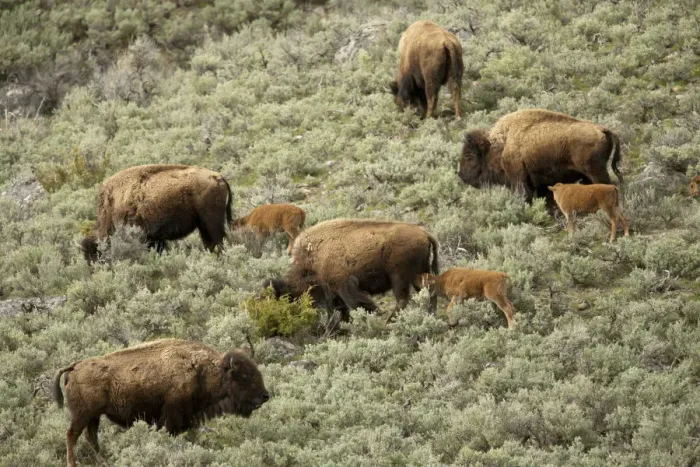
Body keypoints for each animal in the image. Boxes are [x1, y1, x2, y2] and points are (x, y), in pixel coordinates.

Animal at [53, 338, 269, 467]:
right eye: (244, 376)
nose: (265, 396)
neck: (202, 370)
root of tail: (75, 367)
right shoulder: (172, 416)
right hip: (82, 415)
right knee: (71, 435)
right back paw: (73, 464)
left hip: (94, 416)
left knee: (90, 436)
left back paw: (103, 460)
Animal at [79, 164, 232, 263]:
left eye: (96, 254)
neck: (112, 206)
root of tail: (219, 177)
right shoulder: (156, 239)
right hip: (203, 224)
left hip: (210, 222)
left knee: (217, 240)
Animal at [261, 218, 439, 326]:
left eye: (284, 297)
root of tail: (425, 234)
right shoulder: (334, 290)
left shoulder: (343, 284)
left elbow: (355, 303)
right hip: (419, 275)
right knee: (428, 293)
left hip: (399, 276)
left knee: (403, 299)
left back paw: (389, 322)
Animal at [458, 109, 623, 206]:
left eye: (469, 155)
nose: (460, 175)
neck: (500, 146)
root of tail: (603, 129)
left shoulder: (518, 179)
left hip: (595, 172)